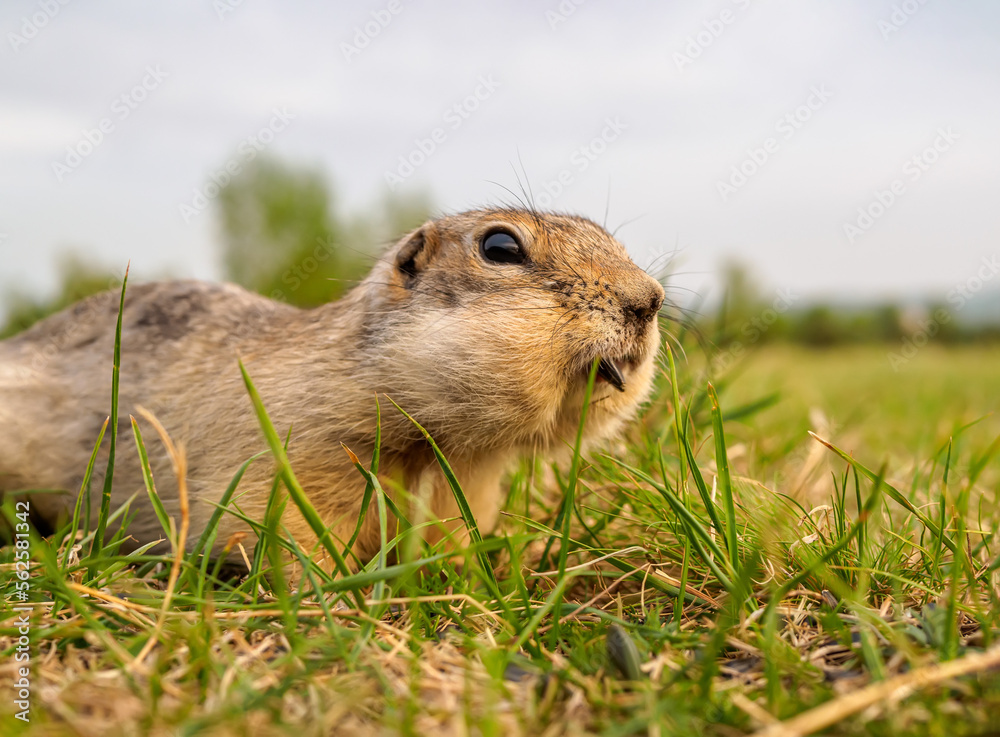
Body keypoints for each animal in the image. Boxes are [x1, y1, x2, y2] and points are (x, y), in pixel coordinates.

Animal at [1, 210, 664, 568]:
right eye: (500, 246)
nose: (650, 299)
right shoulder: (291, 453)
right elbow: (275, 530)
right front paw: (332, 600)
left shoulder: (465, 493)